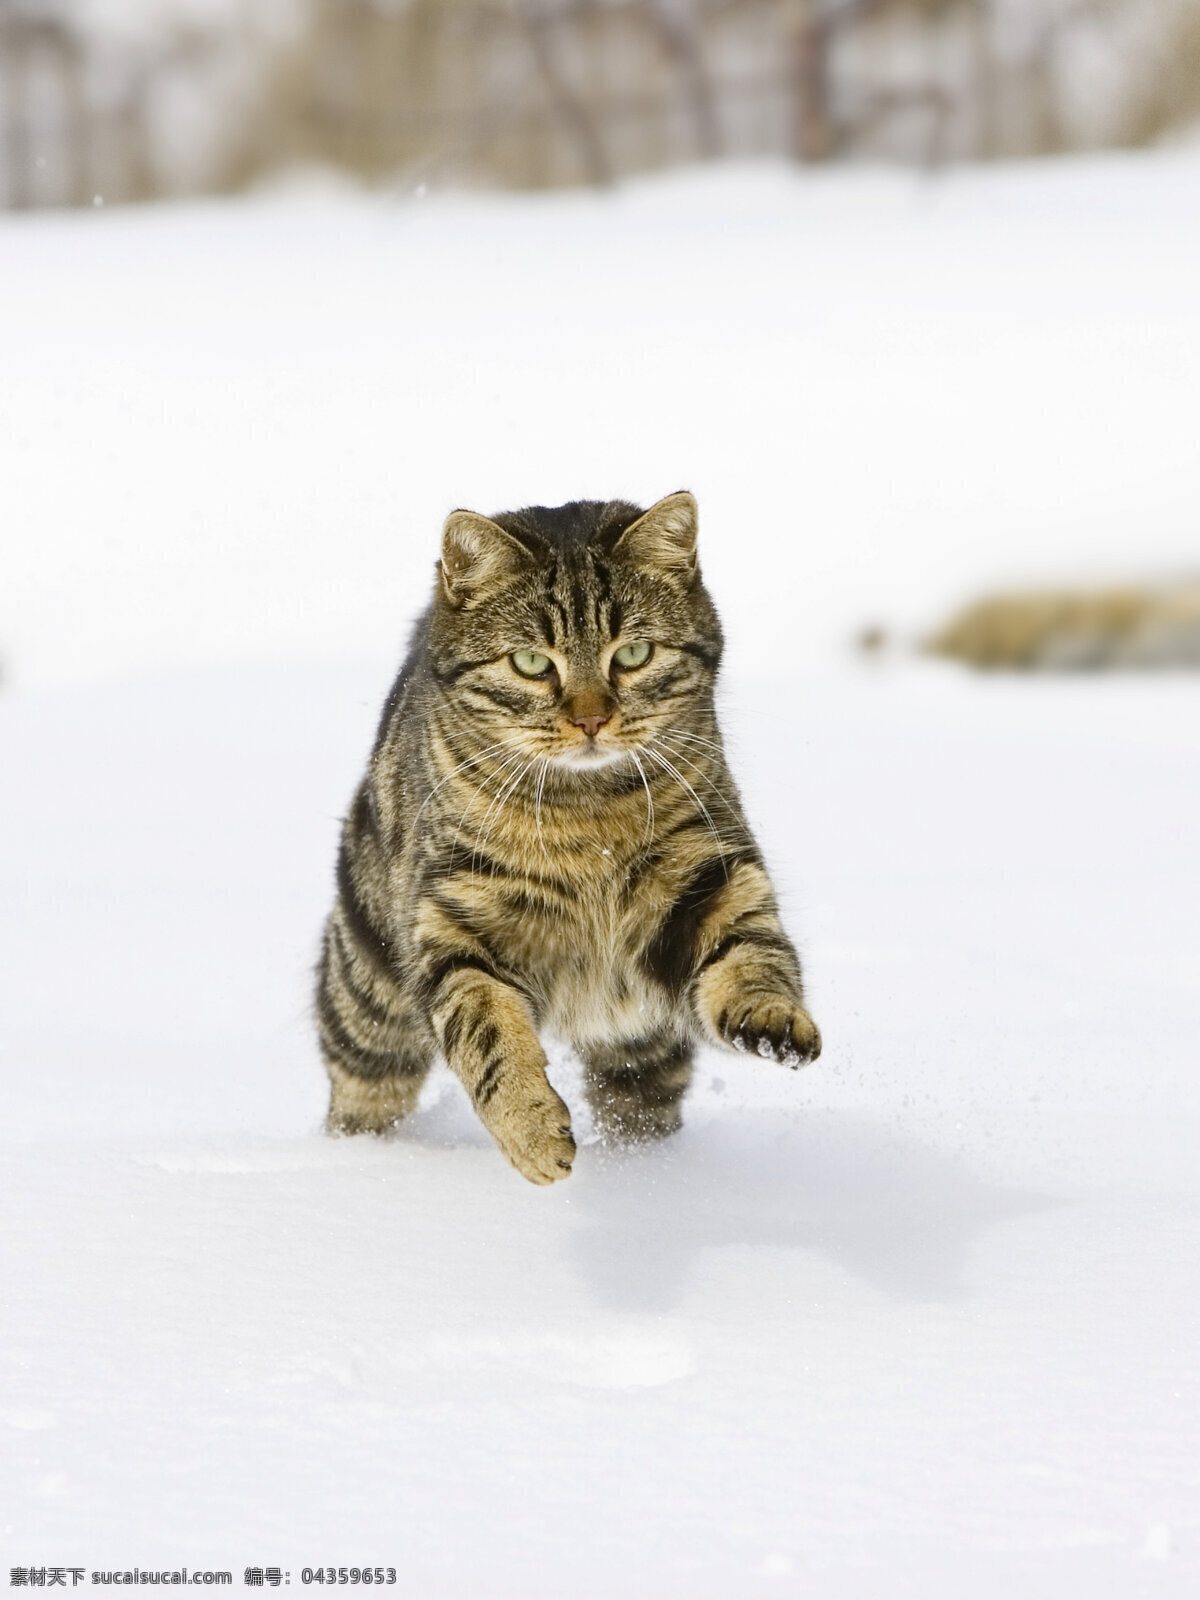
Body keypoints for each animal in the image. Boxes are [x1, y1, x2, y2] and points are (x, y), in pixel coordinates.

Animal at [320, 492, 825, 1184]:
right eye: (532, 663)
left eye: (633, 654)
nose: (591, 719)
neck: (588, 819)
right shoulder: (451, 918)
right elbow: (487, 1031)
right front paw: (532, 1132)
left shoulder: (710, 871)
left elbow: (752, 954)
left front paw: (772, 1015)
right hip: (366, 987)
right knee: (365, 1085)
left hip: (641, 1044)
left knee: (640, 1099)